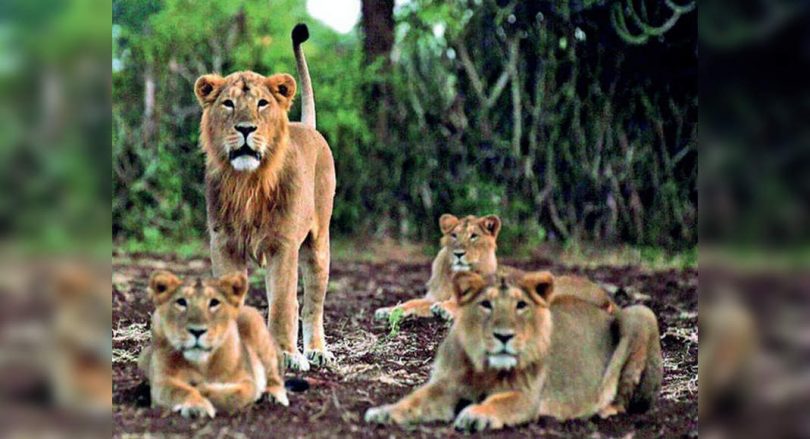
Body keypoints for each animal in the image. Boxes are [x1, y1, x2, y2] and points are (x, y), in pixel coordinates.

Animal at [138, 270, 288, 418]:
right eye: (181, 302)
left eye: (214, 302)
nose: (197, 331)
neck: (201, 364)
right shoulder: (162, 381)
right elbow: (181, 391)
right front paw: (197, 406)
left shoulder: (247, 382)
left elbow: (233, 396)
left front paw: (202, 388)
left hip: (255, 324)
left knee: (274, 375)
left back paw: (273, 395)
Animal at [193, 23, 335, 371]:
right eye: (228, 104)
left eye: (261, 103)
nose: (245, 128)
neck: (247, 183)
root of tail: (307, 126)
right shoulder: (224, 245)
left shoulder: (283, 246)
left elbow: (284, 304)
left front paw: (286, 355)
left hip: (318, 244)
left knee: (311, 302)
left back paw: (316, 351)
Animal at [365, 270, 662, 432]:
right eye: (486, 305)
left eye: (520, 307)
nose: (504, 335)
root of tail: (608, 299)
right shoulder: (446, 384)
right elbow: (415, 399)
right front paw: (385, 412)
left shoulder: (526, 397)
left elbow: (499, 402)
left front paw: (475, 415)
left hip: (639, 315)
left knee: (625, 395)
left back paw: (600, 407)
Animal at [373, 213, 615, 322]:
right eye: (454, 235)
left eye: (473, 236)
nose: (459, 253)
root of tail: (607, 297)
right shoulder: (432, 296)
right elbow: (412, 303)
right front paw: (387, 310)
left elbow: (455, 304)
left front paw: (444, 310)